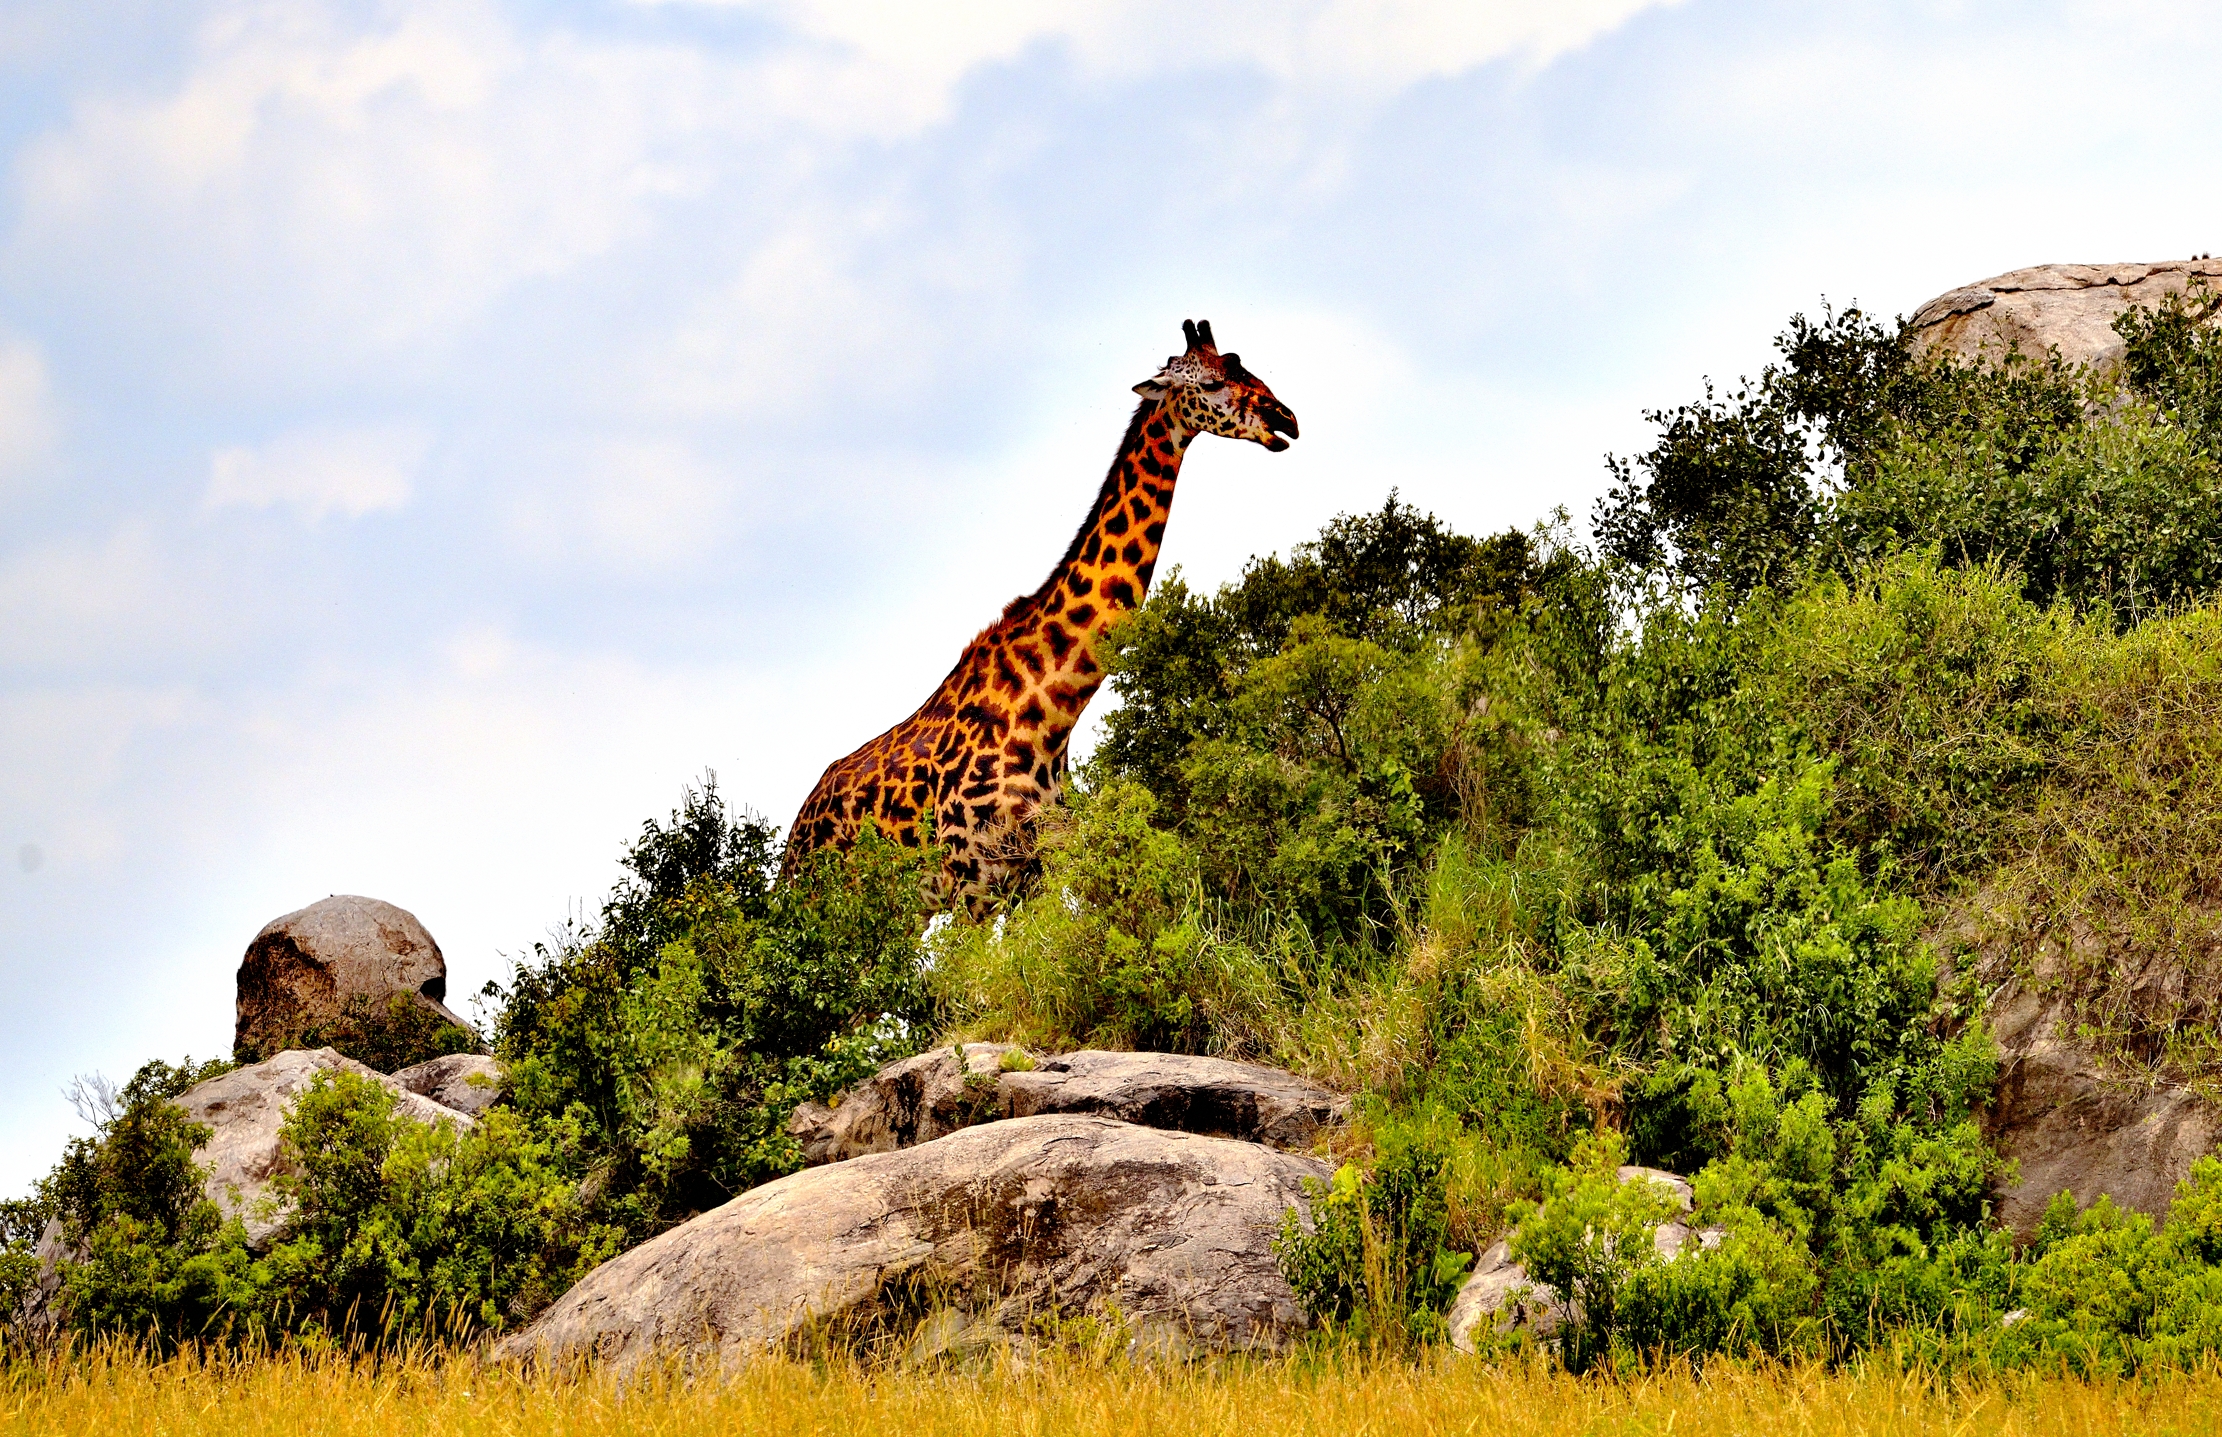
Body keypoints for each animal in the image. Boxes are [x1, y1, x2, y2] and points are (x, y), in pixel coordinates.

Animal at [782, 319, 1299, 905]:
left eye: (1243, 363)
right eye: (1211, 383)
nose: (1286, 419)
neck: (1052, 712)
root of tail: (793, 840)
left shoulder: (1034, 871)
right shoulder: (974, 878)